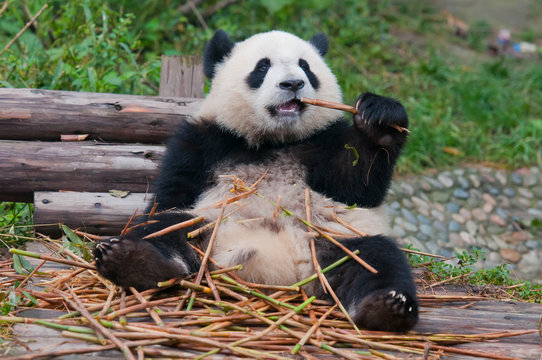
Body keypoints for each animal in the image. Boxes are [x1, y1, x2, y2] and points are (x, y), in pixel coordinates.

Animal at [95, 29, 420, 334]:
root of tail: (282, 273)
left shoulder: (322, 142)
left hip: (329, 239)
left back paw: (385, 308)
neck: (273, 140)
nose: (293, 84)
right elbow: (171, 197)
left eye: (305, 66)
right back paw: (131, 260)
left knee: (376, 259)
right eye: (262, 67)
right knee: (169, 228)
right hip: (212, 233)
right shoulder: (203, 141)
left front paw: (381, 120)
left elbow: (357, 186)